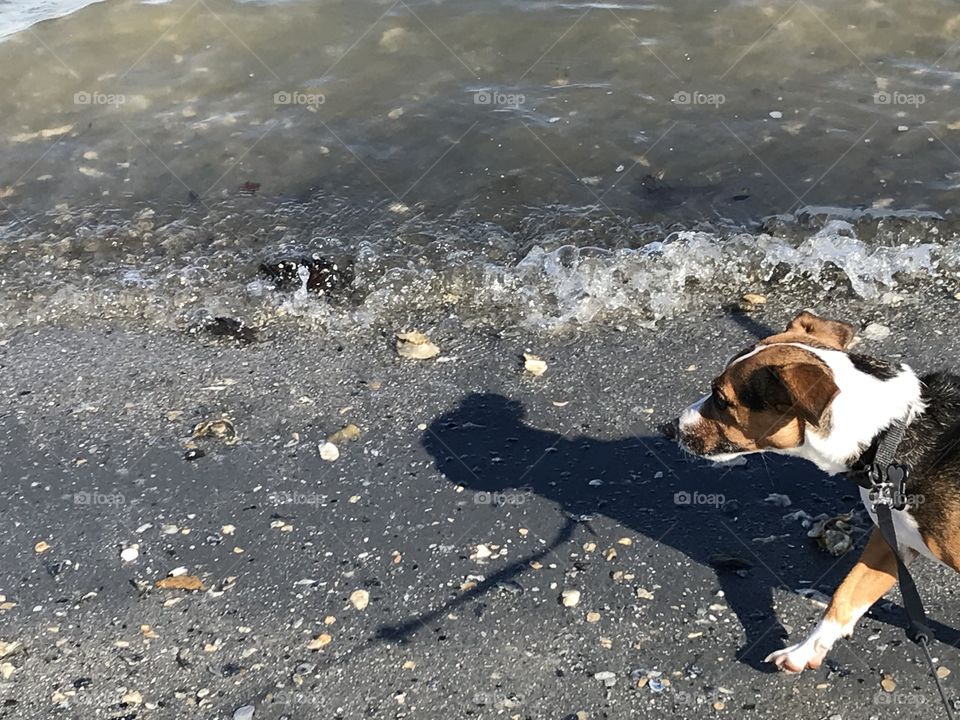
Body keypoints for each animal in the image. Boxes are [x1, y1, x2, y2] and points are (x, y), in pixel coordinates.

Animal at [668, 312, 960, 672]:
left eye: (721, 400)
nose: (669, 428)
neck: (887, 434)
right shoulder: (892, 541)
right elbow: (845, 595)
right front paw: (804, 651)